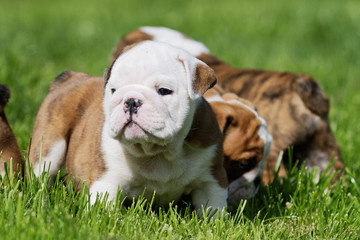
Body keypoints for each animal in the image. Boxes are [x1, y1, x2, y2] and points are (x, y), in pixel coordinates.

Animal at [30, 40, 228, 213]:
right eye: (114, 90)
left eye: (164, 91)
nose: (131, 101)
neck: (157, 152)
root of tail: (71, 76)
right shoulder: (106, 183)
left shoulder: (212, 180)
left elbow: (213, 210)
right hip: (49, 146)